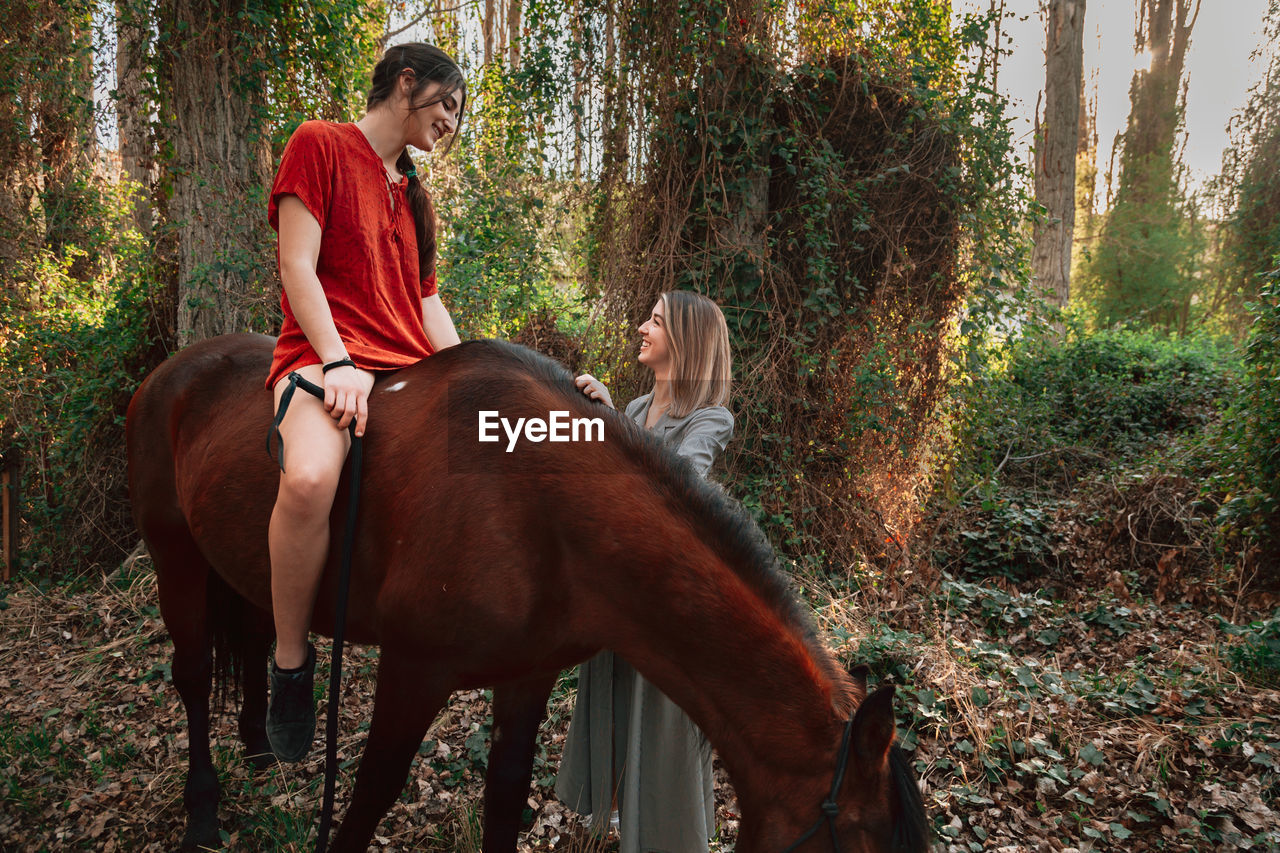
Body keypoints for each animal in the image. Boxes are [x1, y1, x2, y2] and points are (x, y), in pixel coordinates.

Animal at [129, 333, 926, 850]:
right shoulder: (413, 670)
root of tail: (173, 371)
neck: (538, 509)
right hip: (175, 553)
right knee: (193, 675)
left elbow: (506, 795)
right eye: (862, 848)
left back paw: (264, 743)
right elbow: (372, 793)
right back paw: (203, 812)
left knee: (258, 632)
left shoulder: (528, 673)